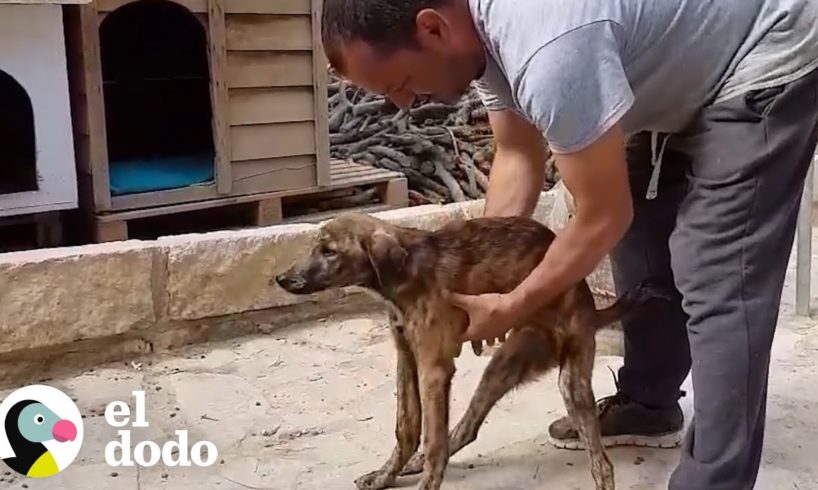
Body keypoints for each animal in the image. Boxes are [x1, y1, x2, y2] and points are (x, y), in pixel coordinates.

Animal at [274, 212, 668, 490]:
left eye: (329, 251)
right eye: (316, 246)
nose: (281, 279)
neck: (406, 268)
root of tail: (589, 302)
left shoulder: (433, 367)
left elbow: (433, 440)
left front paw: (426, 483)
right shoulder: (407, 359)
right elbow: (406, 428)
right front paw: (385, 475)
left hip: (569, 381)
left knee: (602, 463)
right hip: (504, 363)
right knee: (468, 428)